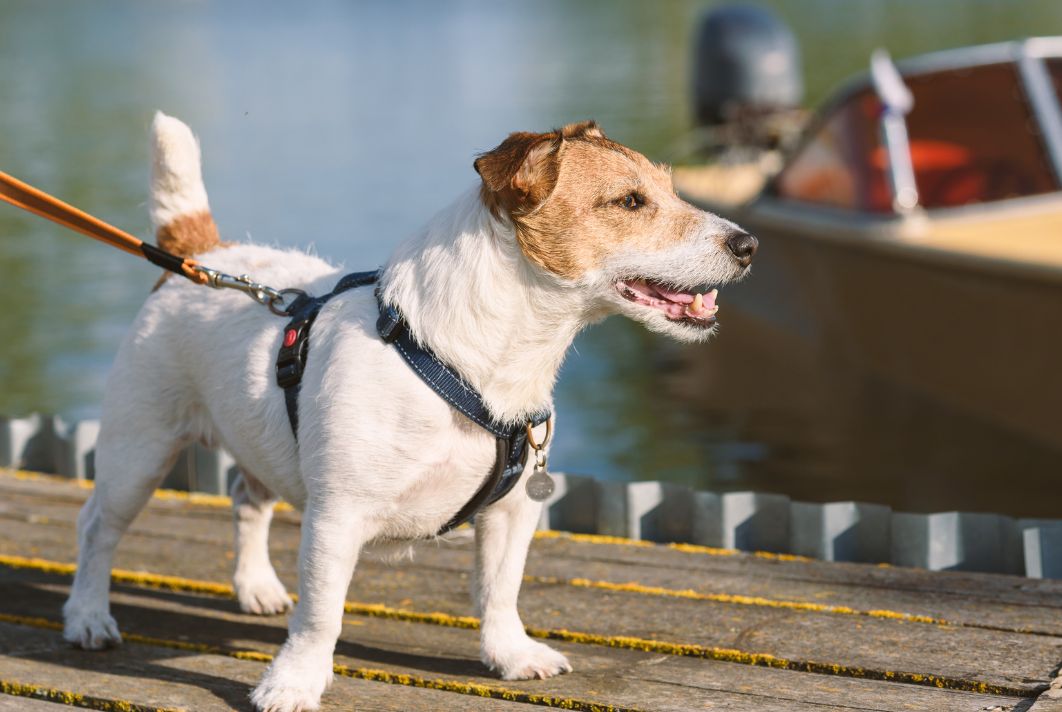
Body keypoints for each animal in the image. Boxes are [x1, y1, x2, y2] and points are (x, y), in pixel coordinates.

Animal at [62, 114, 756, 709]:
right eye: (631, 203)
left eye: (671, 188)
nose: (748, 243)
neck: (468, 360)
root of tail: (201, 253)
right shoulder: (336, 519)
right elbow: (321, 616)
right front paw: (294, 684)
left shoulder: (512, 513)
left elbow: (500, 590)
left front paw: (510, 656)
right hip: (138, 450)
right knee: (98, 528)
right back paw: (89, 616)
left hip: (252, 442)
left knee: (246, 499)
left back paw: (256, 587)